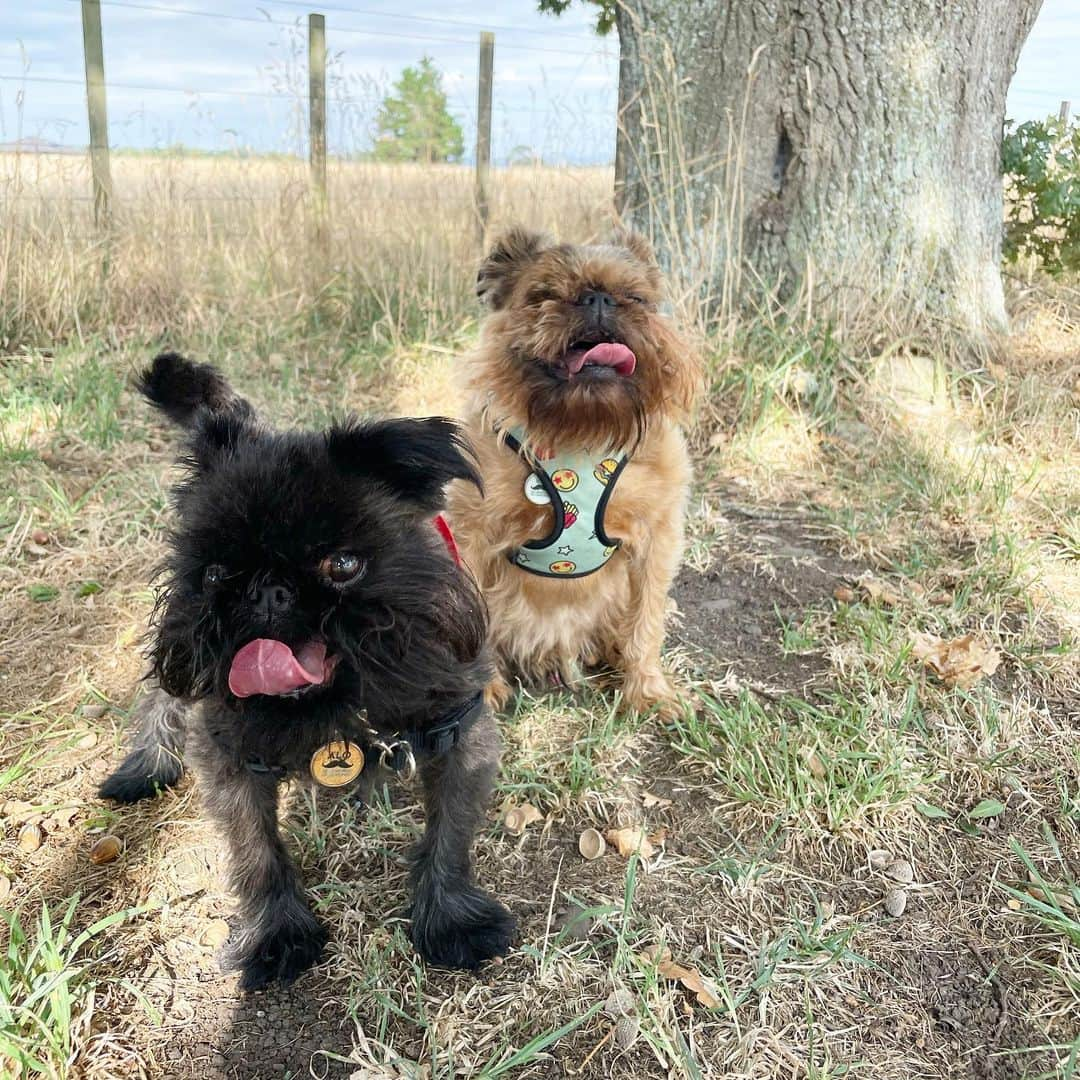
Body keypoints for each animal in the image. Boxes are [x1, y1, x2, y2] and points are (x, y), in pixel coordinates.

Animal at [103, 352, 516, 989]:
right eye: (217, 573)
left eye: (342, 565)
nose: (267, 592)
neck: (339, 700)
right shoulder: (228, 757)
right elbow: (256, 853)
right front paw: (277, 936)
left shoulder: (460, 735)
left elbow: (449, 837)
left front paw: (451, 921)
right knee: (161, 697)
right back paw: (145, 766)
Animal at [444, 227, 699, 712]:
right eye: (544, 295)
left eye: (635, 297)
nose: (598, 298)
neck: (579, 432)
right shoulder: (471, 539)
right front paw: (482, 692)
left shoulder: (657, 540)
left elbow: (646, 621)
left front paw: (647, 690)